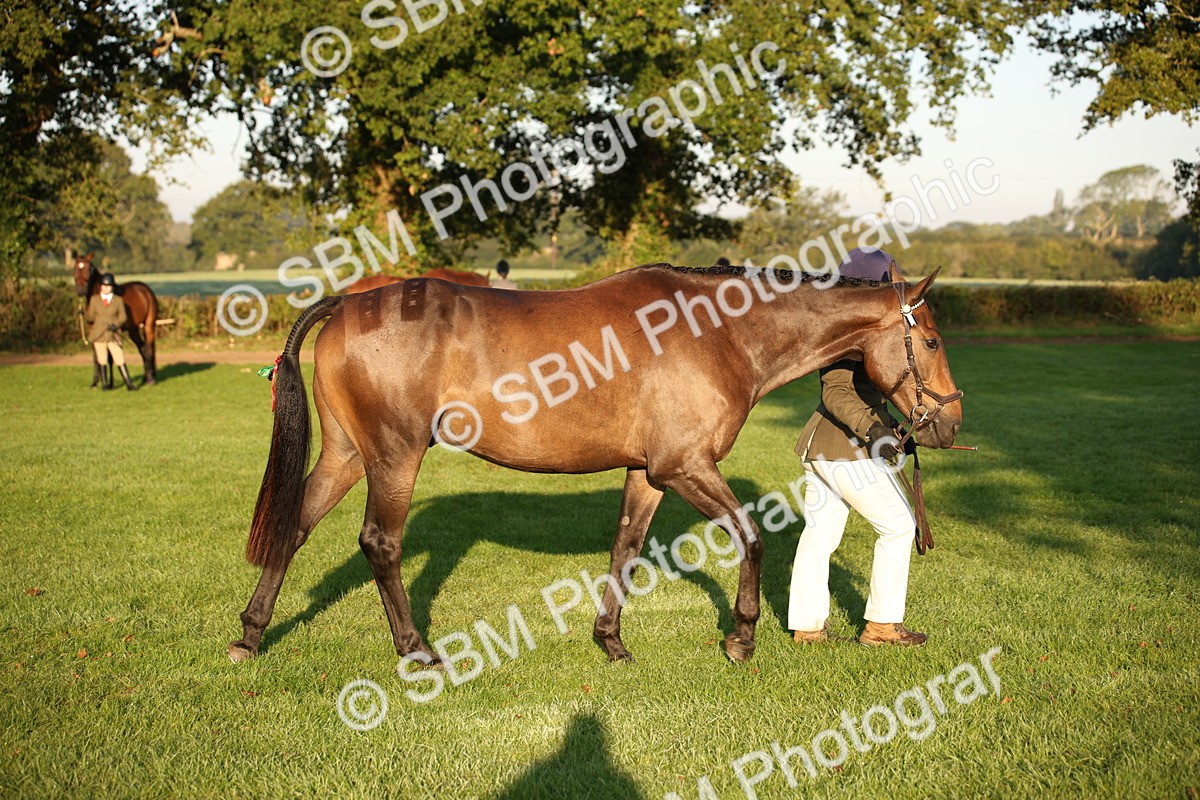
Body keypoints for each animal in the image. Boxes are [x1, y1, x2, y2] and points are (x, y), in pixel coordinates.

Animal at [73, 254, 159, 385]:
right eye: (75, 268)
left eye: (89, 268)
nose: (81, 290)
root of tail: (145, 289)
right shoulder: (94, 330)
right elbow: (97, 356)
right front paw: (96, 382)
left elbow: (110, 357)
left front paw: (109, 383)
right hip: (133, 330)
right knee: (142, 349)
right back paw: (146, 377)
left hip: (148, 325)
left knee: (149, 349)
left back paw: (151, 379)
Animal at [227, 263, 963, 667]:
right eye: (929, 341)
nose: (950, 422)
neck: (719, 332)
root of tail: (350, 301)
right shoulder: (685, 467)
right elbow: (751, 537)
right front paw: (741, 639)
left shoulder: (649, 474)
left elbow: (625, 548)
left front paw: (609, 640)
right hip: (393, 456)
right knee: (380, 542)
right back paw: (415, 648)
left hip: (347, 454)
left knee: (295, 527)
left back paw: (251, 636)